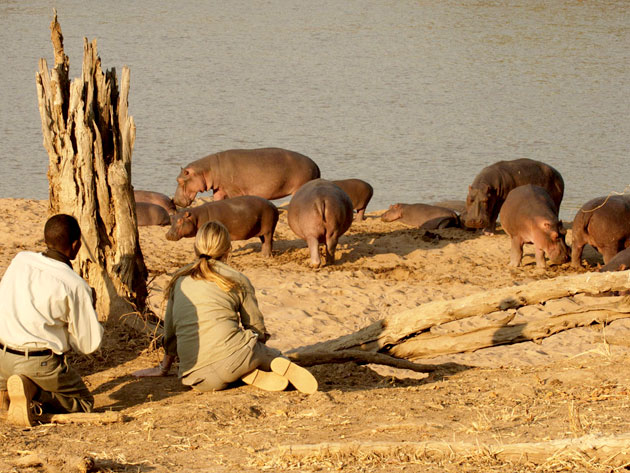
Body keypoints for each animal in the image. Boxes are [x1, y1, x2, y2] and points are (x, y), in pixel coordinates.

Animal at [173, 148, 320, 206]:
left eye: (179, 180)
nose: (174, 201)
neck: (207, 170)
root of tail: (316, 165)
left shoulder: (233, 189)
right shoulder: (220, 188)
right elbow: (217, 199)